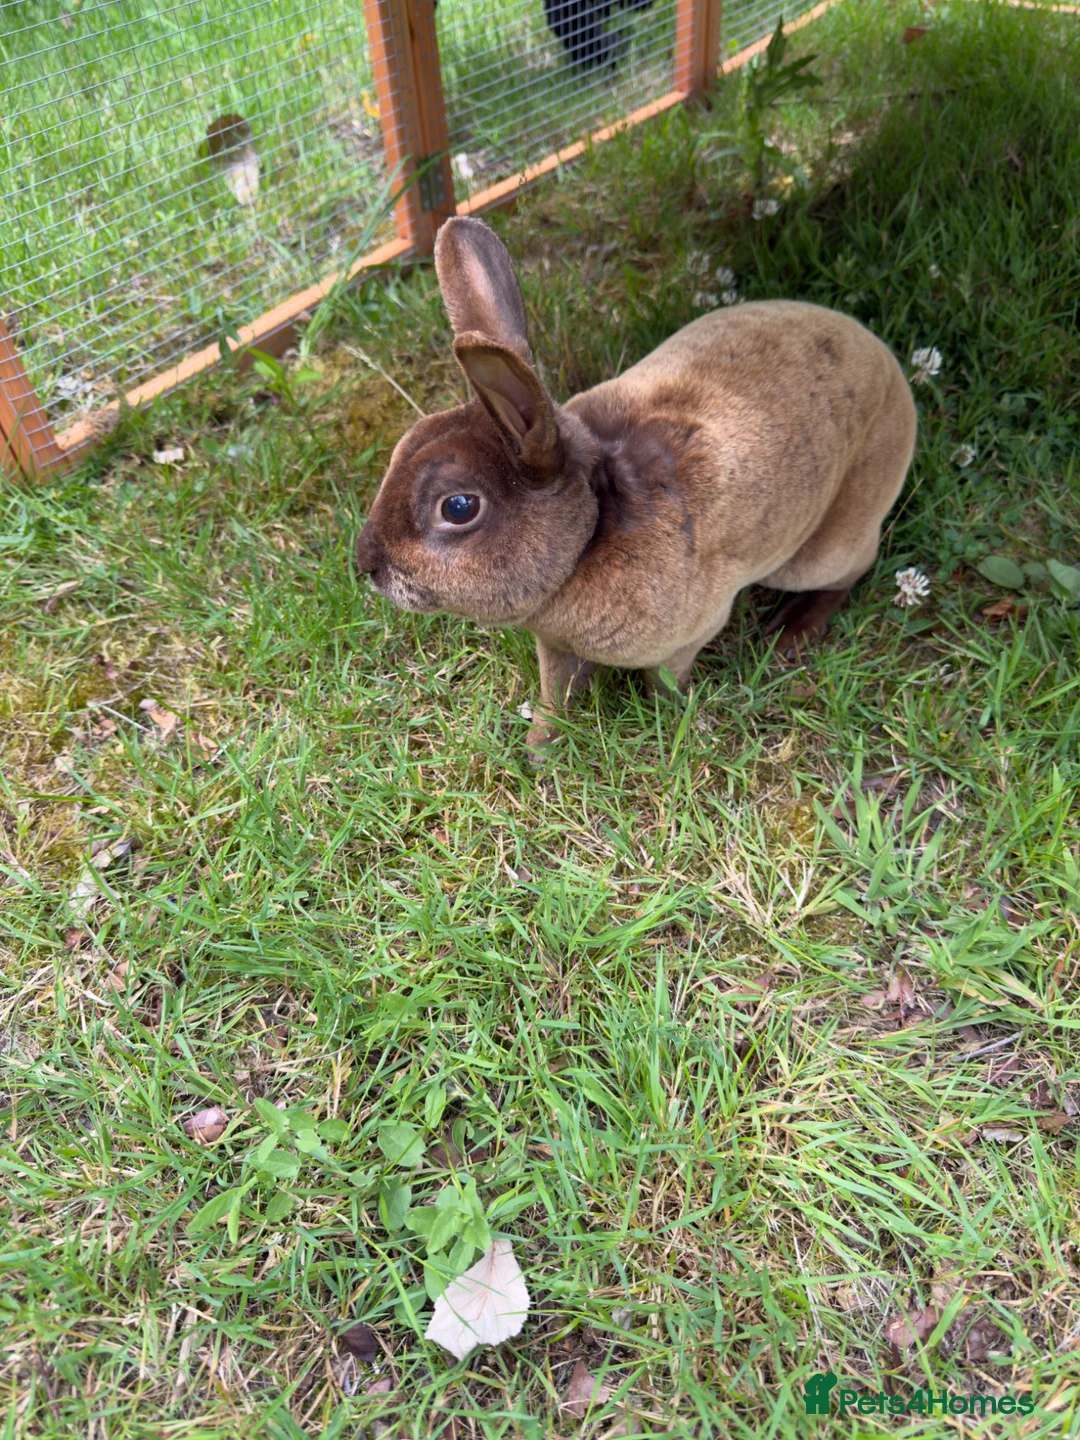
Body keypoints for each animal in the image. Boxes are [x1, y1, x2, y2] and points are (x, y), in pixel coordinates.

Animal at [354, 216, 917, 758]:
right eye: (402, 447)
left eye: (459, 507)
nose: (365, 563)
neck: (592, 529)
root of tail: (883, 359)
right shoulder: (555, 646)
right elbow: (554, 692)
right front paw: (541, 747)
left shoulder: (690, 634)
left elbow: (664, 681)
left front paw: (668, 724)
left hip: (820, 551)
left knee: (849, 571)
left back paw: (789, 634)